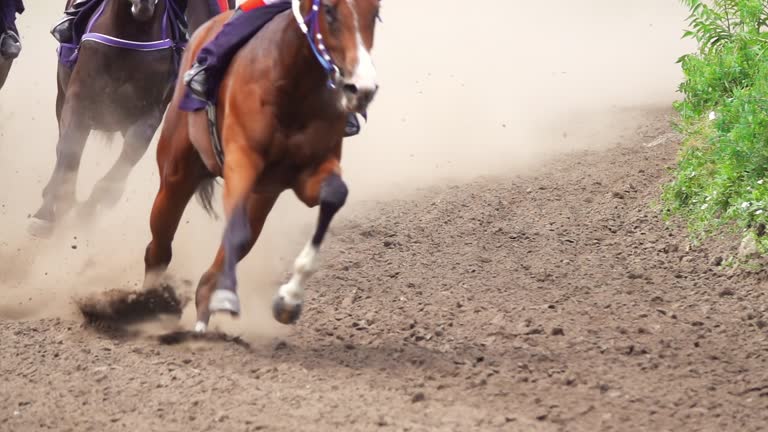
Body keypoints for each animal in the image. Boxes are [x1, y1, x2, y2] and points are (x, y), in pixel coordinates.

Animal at [27, 0, 231, 236]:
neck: (133, 33)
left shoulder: (150, 111)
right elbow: (69, 150)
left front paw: (88, 209)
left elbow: (129, 156)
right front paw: (47, 212)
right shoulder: (79, 98)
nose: (144, 4)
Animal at [143, 0, 380, 332]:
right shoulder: (241, 159)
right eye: (330, 12)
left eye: (376, 14)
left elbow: (333, 195)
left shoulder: (307, 171)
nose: (362, 88)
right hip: (177, 169)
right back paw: (148, 304)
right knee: (160, 244)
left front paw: (289, 300)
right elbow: (234, 227)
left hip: (263, 194)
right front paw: (229, 295)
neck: (293, 85)